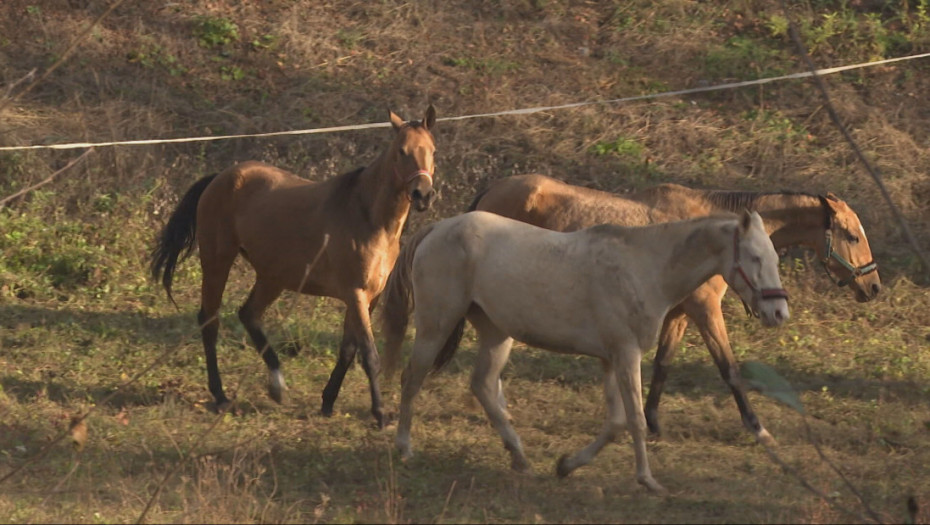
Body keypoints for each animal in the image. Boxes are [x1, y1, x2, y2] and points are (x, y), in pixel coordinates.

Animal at [149, 105, 437, 428]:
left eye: (433, 151)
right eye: (402, 151)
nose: (423, 194)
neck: (368, 217)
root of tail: (220, 177)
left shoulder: (369, 298)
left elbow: (348, 349)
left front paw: (328, 402)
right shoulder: (356, 294)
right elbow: (368, 355)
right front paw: (380, 414)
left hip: (272, 277)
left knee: (248, 314)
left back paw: (277, 385)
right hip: (217, 261)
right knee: (210, 321)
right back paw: (221, 395)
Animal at [380, 210, 788, 494]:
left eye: (774, 258)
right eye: (753, 257)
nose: (778, 312)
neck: (646, 269)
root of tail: (438, 228)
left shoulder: (610, 359)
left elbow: (616, 422)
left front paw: (566, 465)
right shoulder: (626, 355)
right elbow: (636, 419)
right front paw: (648, 480)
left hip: (497, 333)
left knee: (482, 385)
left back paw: (520, 457)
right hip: (436, 324)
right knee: (412, 378)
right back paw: (404, 448)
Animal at [467, 173, 880, 444]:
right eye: (852, 236)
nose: (873, 286)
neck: (709, 235)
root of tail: (490, 193)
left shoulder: (680, 314)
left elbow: (663, 364)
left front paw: (652, 422)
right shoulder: (706, 311)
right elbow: (729, 369)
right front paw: (757, 428)